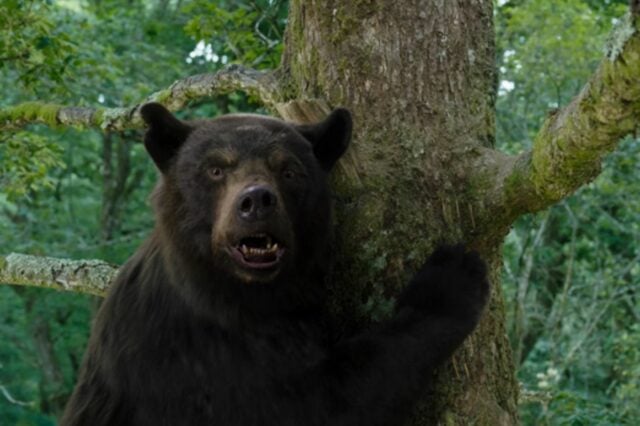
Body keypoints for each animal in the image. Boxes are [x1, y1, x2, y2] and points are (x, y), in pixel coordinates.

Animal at [60, 103, 489, 426]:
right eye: (216, 168)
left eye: (289, 169)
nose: (256, 201)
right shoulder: (192, 359)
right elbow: (320, 402)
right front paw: (450, 279)